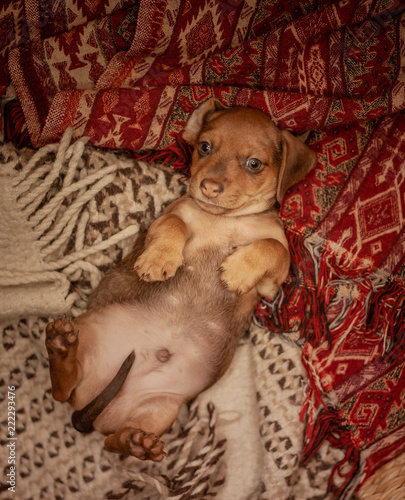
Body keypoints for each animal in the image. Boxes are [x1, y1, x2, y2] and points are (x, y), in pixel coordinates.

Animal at [44, 99, 316, 462]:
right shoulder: (166, 217)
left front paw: (237, 270)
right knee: (62, 390)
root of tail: (97, 406)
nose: (209, 187)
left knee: (112, 440)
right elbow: (177, 225)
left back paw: (137, 443)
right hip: (87, 332)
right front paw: (159, 260)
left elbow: (273, 248)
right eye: (205, 147)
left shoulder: (274, 282)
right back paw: (60, 347)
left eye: (254, 164)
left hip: (163, 409)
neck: (225, 219)